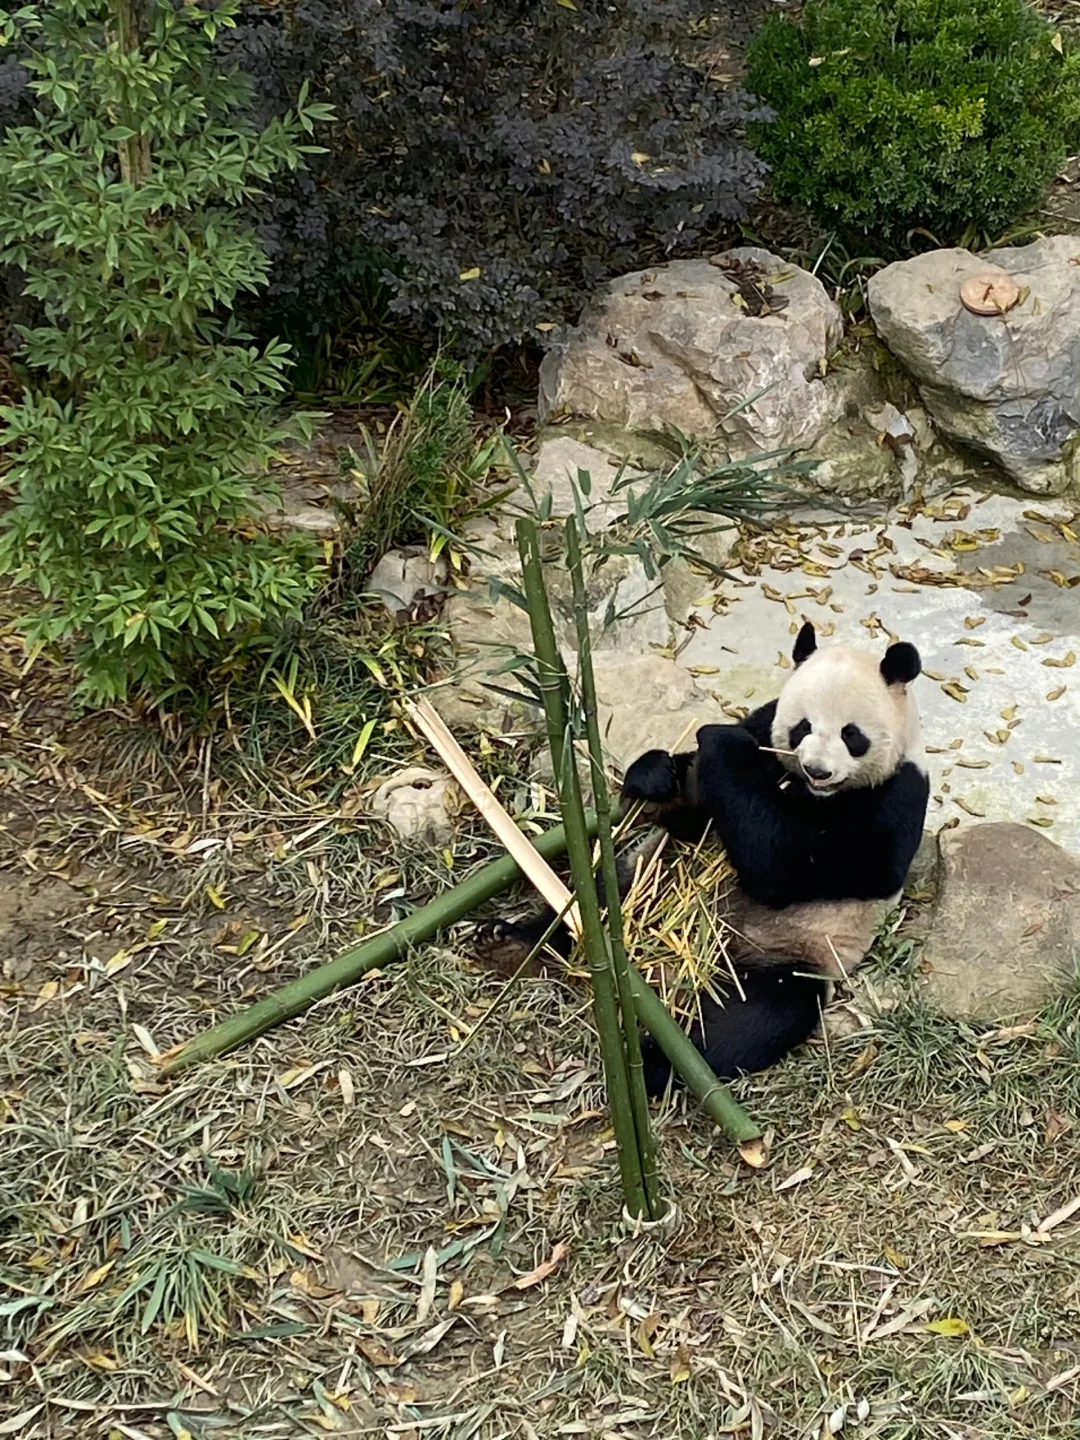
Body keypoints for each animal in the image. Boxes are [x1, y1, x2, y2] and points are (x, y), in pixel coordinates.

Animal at [478, 616, 933, 1088]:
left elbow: (788, 868)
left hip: (795, 952)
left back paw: (653, 1061)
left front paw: (721, 742)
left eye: (851, 735)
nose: (817, 769)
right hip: (647, 882)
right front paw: (656, 776)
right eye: (802, 728)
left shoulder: (897, 795)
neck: (816, 794)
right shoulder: (765, 725)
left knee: (755, 1018)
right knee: (595, 904)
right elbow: (698, 815)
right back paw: (512, 944)